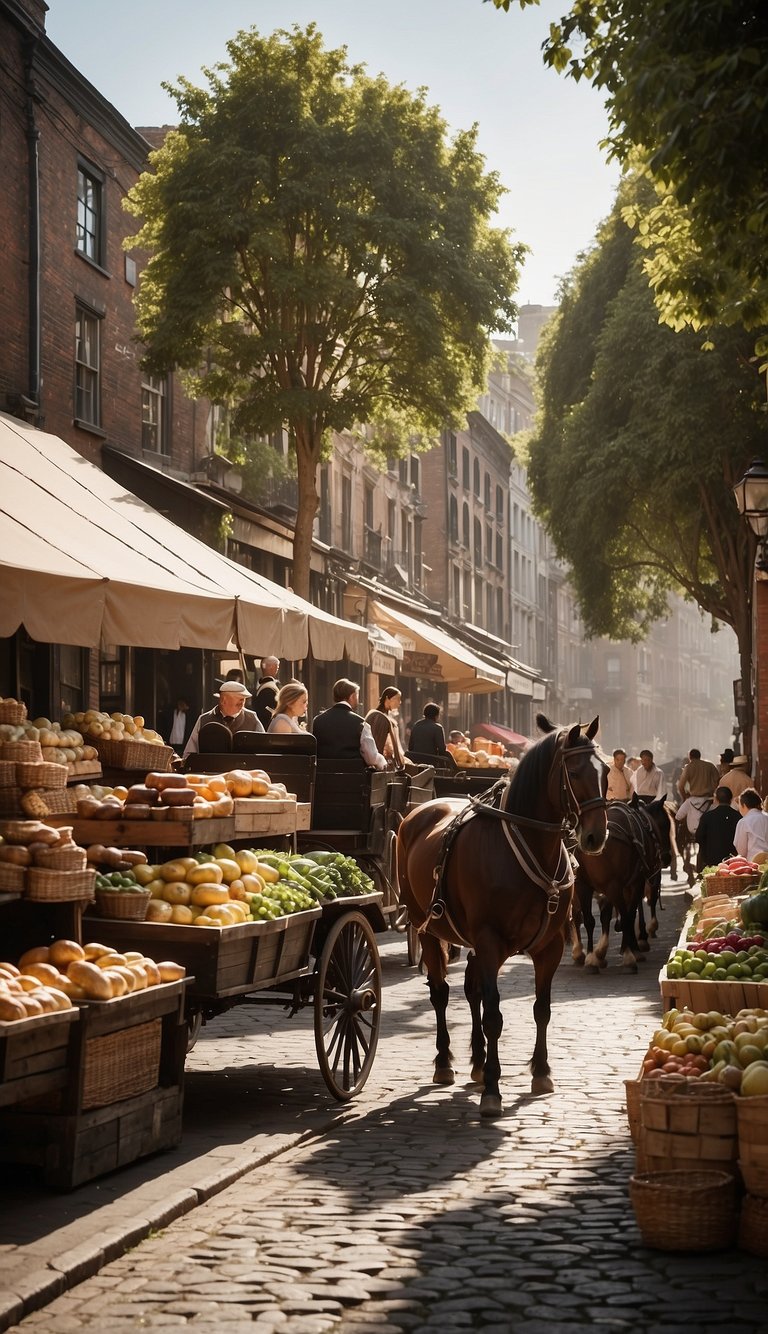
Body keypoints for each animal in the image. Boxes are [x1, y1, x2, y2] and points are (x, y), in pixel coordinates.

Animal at [394, 720, 605, 1115]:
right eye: (573, 772)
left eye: (606, 770)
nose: (595, 836)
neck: (528, 846)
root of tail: (422, 809)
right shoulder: (490, 940)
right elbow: (494, 1016)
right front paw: (492, 1089)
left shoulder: (549, 946)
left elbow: (541, 1009)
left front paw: (541, 1071)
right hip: (425, 928)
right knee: (442, 994)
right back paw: (445, 1062)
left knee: (471, 991)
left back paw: (477, 1062)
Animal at [570, 789, 666, 971]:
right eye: (656, 827)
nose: (666, 857)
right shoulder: (632, 883)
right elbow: (627, 914)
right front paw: (630, 950)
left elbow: (610, 915)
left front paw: (600, 953)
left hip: (588, 885)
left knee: (587, 918)